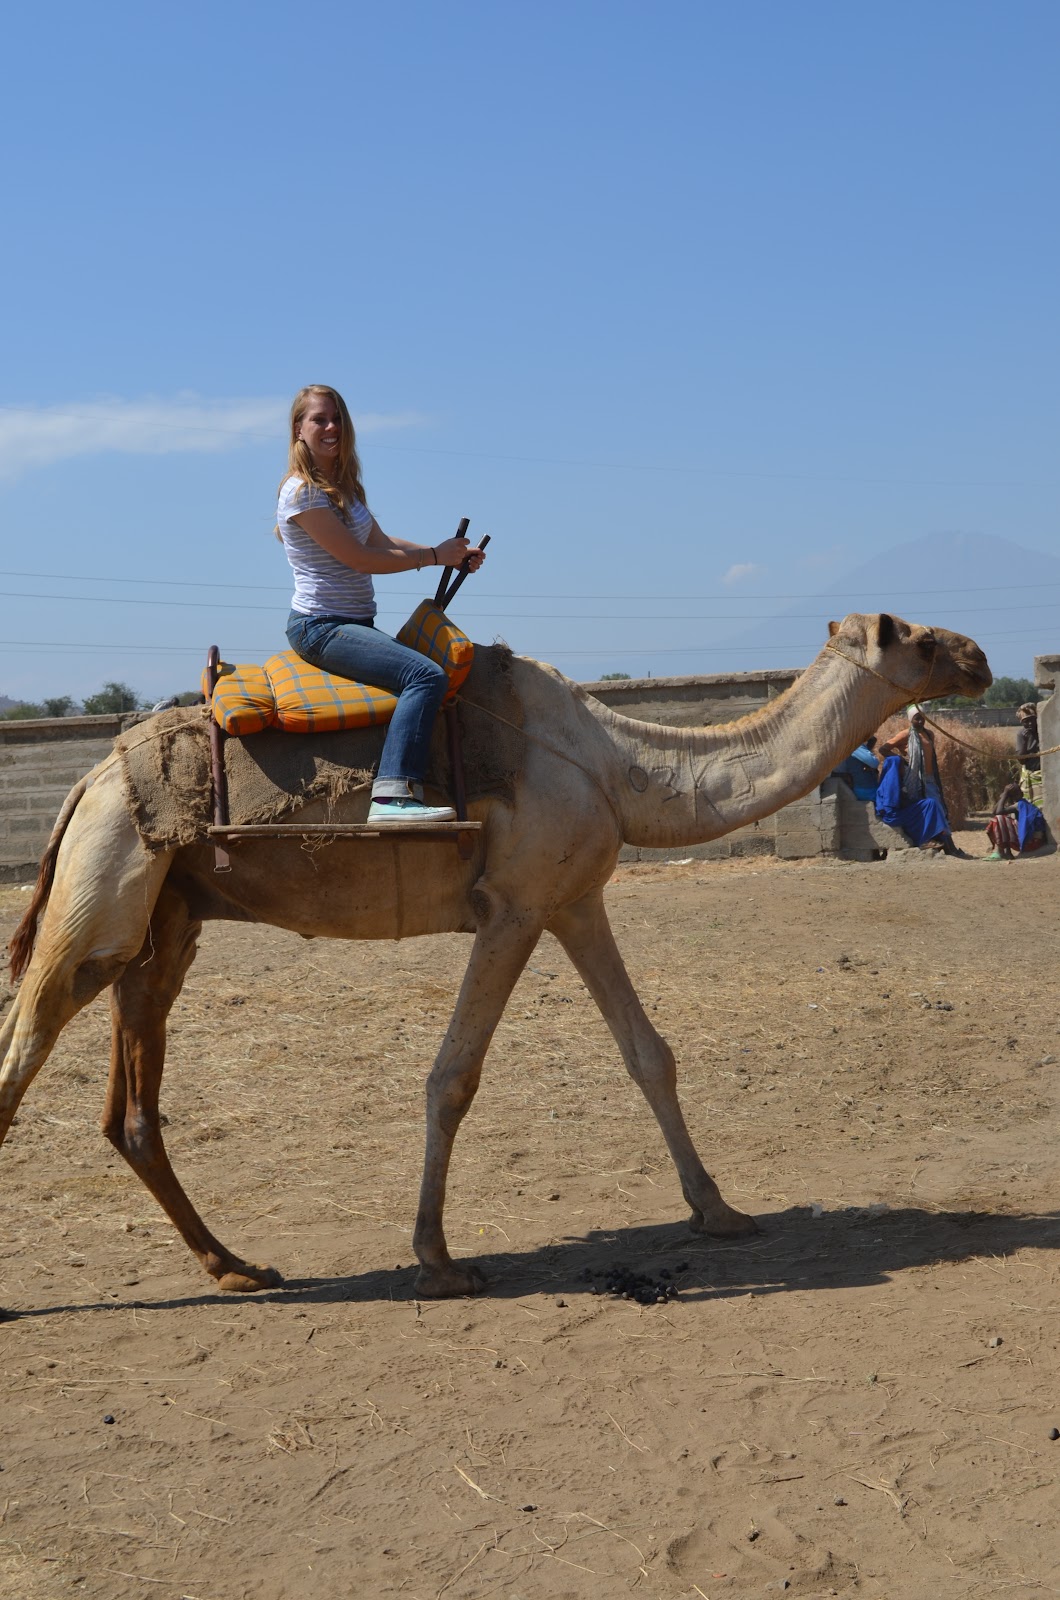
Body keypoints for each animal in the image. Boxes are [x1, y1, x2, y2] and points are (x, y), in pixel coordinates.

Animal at [1, 611, 989, 1298]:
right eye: (914, 636)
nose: (978, 655)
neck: (614, 763)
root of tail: (89, 779)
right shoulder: (511, 907)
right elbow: (453, 1077)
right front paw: (439, 1260)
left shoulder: (575, 899)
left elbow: (649, 1054)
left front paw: (720, 1211)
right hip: (104, 888)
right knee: (28, 1040)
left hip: (167, 922)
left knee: (133, 1105)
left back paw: (237, 1266)